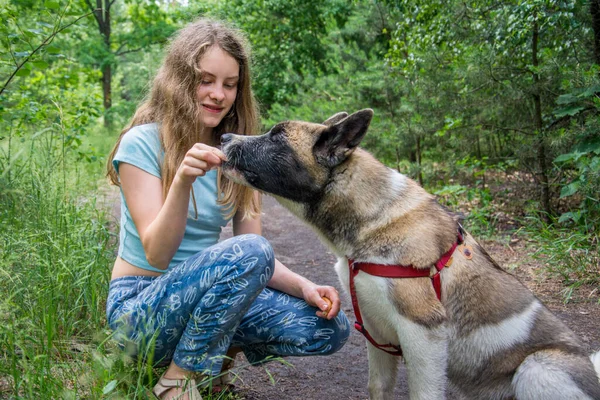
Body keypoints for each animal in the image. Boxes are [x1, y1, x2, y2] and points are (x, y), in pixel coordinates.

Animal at [220, 109, 600, 400]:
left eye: (276, 137)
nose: (224, 137)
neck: (373, 220)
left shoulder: (423, 333)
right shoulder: (375, 330)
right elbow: (378, 387)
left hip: (537, 369)